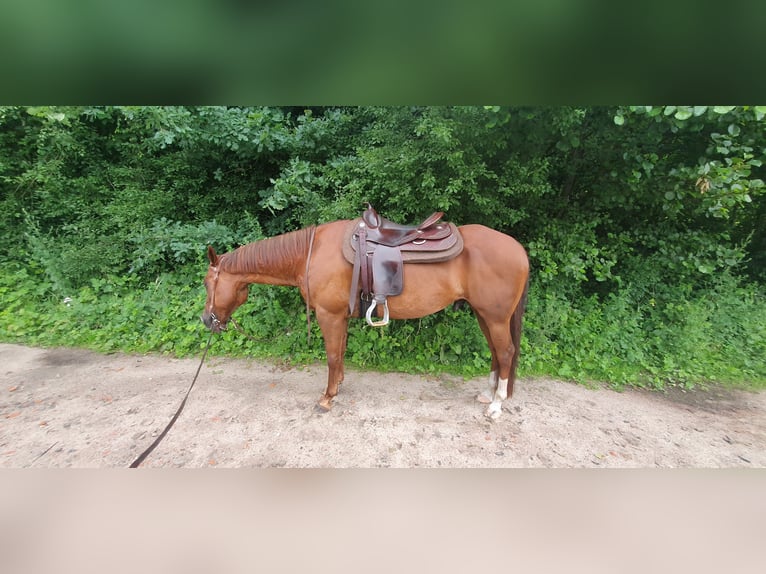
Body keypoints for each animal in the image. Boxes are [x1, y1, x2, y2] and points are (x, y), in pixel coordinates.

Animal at [201, 216, 529, 419]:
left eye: (207, 283)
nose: (206, 320)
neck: (310, 254)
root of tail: (519, 249)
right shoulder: (340, 316)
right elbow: (341, 352)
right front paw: (339, 385)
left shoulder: (329, 315)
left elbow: (332, 355)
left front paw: (327, 397)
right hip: (484, 315)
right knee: (496, 353)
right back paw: (488, 395)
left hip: (495, 317)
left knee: (506, 352)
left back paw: (497, 405)